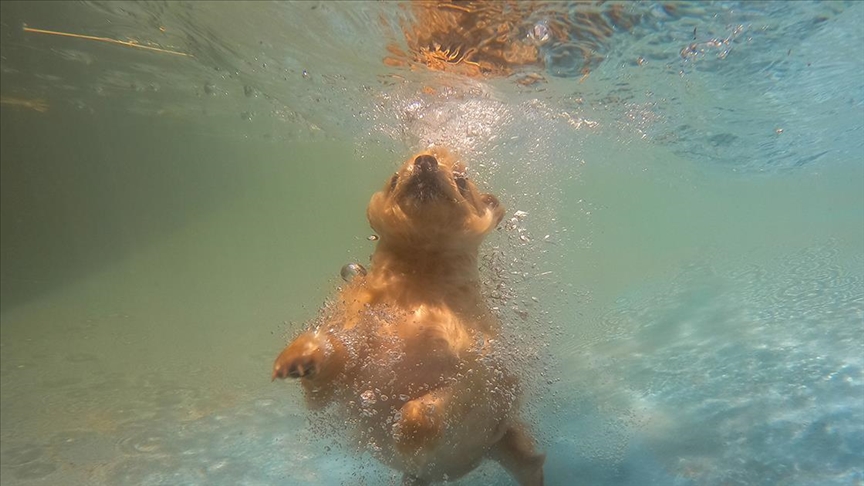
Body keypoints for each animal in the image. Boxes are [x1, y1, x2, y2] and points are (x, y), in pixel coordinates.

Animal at [274, 149, 544, 486]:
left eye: (462, 181)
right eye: (394, 179)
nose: (426, 160)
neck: (418, 285)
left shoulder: (480, 372)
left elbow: (443, 400)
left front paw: (405, 435)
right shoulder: (359, 325)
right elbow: (331, 369)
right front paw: (301, 357)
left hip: (504, 435)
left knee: (529, 461)